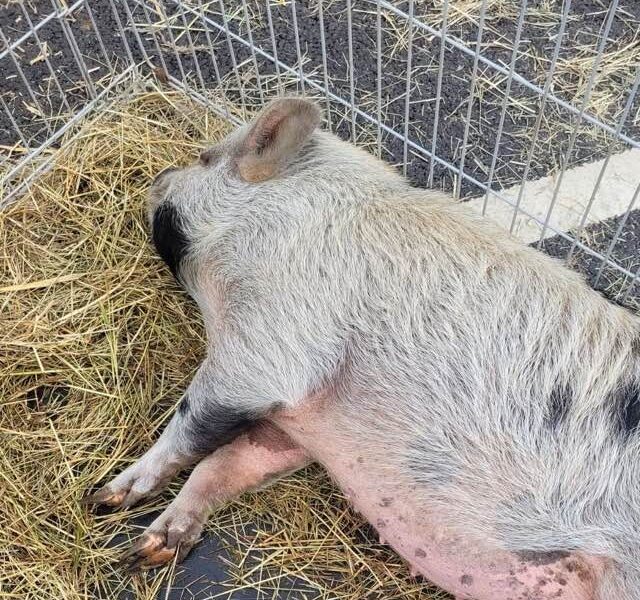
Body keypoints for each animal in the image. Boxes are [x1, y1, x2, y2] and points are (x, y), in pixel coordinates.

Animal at [85, 97, 640, 600]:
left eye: (204, 158)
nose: (159, 175)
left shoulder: (271, 345)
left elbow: (192, 423)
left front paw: (104, 496)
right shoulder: (300, 426)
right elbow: (226, 463)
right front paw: (145, 551)